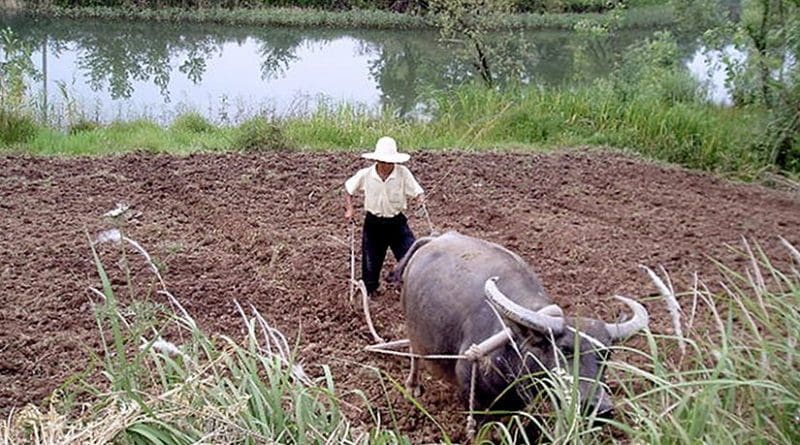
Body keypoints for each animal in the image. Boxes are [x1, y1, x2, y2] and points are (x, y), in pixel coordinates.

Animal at [394, 231, 648, 422]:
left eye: (606, 355)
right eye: (564, 350)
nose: (600, 408)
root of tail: (435, 238)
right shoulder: (472, 398)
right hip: (413, 331)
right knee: (414, 355)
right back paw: (413, 386)